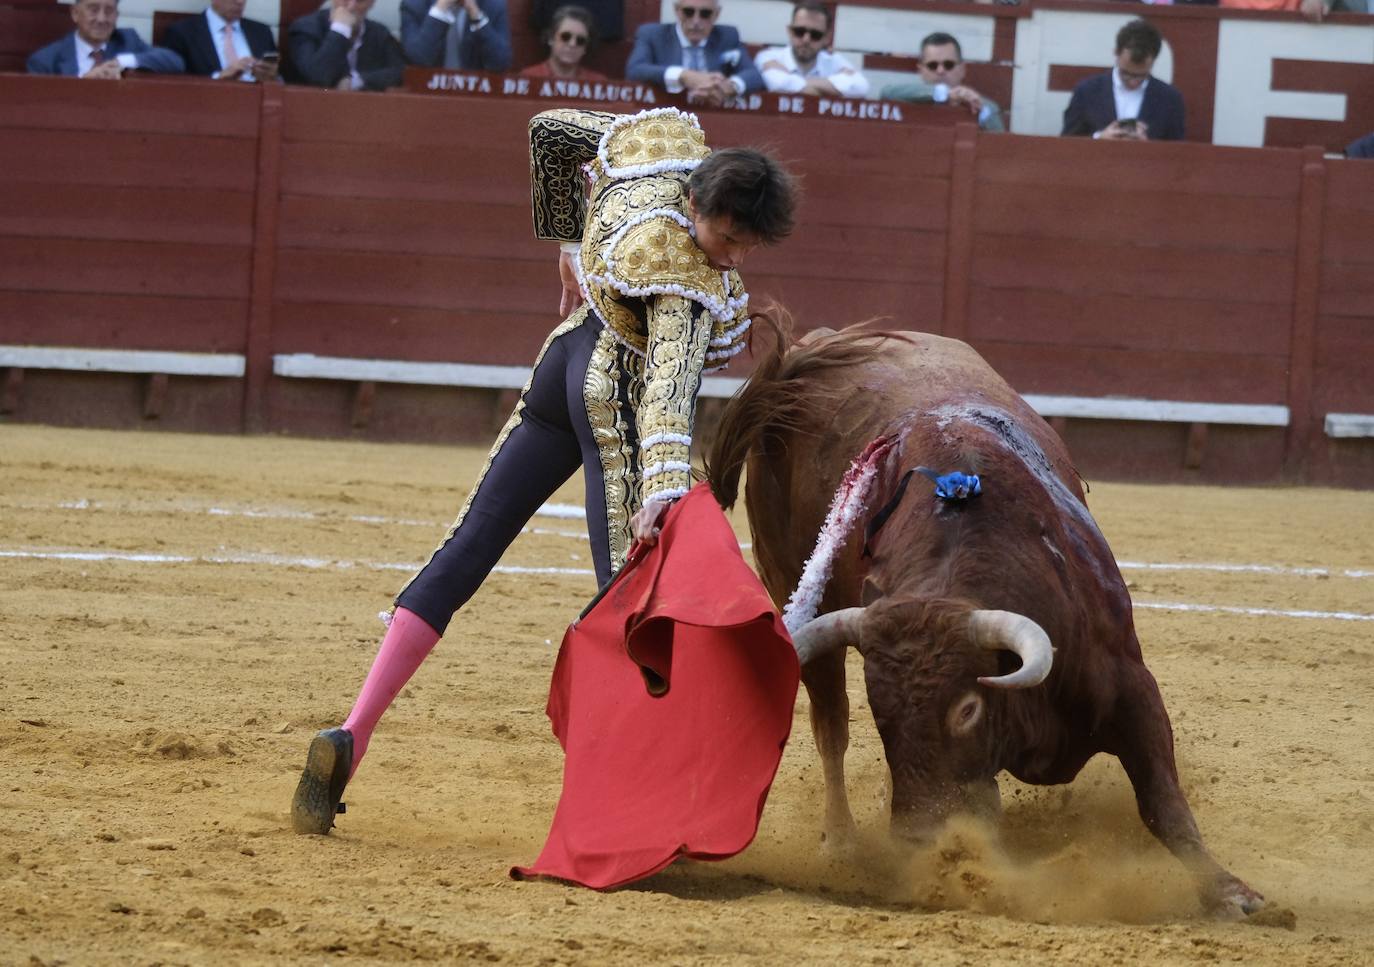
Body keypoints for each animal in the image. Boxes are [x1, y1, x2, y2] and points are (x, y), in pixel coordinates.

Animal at [708, 322, 1264, 912]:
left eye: (968, 708)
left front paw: (1231, 893)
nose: (916, 836)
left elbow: (1162, 801)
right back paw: (840, 842)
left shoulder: (1131, 685)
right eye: (881, 711)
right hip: (790, 587)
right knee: (831, 727)